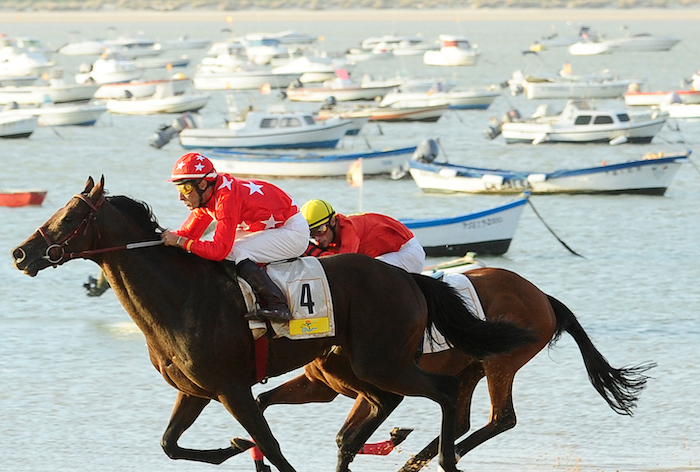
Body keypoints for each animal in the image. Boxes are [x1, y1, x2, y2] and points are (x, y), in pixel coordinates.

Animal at [10, 176, 532, 472]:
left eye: (71, 217)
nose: (20, 253)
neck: (180, 296)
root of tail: (407, 277)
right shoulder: (197, 390)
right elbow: (170, 445)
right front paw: (231, 447)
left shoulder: (231, 388)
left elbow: (273, 447)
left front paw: (244, 443)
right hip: (359, 367)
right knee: (387, 407)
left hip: (382, 361)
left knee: (445, 393)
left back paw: (444, 457)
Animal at [252, 270, 656, 472]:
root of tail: (542, 296)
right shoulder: (321, 385)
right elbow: (265, 401)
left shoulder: (379, 383)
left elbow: (347, 436)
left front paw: (393, 439)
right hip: (470, 367)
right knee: (461, 419)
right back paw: (424, 458)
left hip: (500, 362)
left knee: (501, 418)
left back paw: (442, 456)